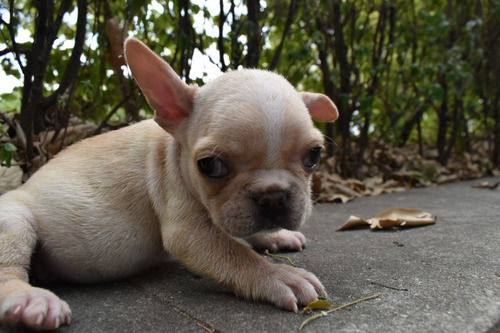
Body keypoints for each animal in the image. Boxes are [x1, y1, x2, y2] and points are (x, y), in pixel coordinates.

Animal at [0, 37, 340, 328]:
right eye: (210, 166)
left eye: (314, 155)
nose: (273, 196)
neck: (174, 151)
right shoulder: (189, 230)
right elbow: (236, 253)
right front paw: (280, 275)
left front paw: (275, 236)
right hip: (14, 222)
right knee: (9, 270)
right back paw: (30, 300)